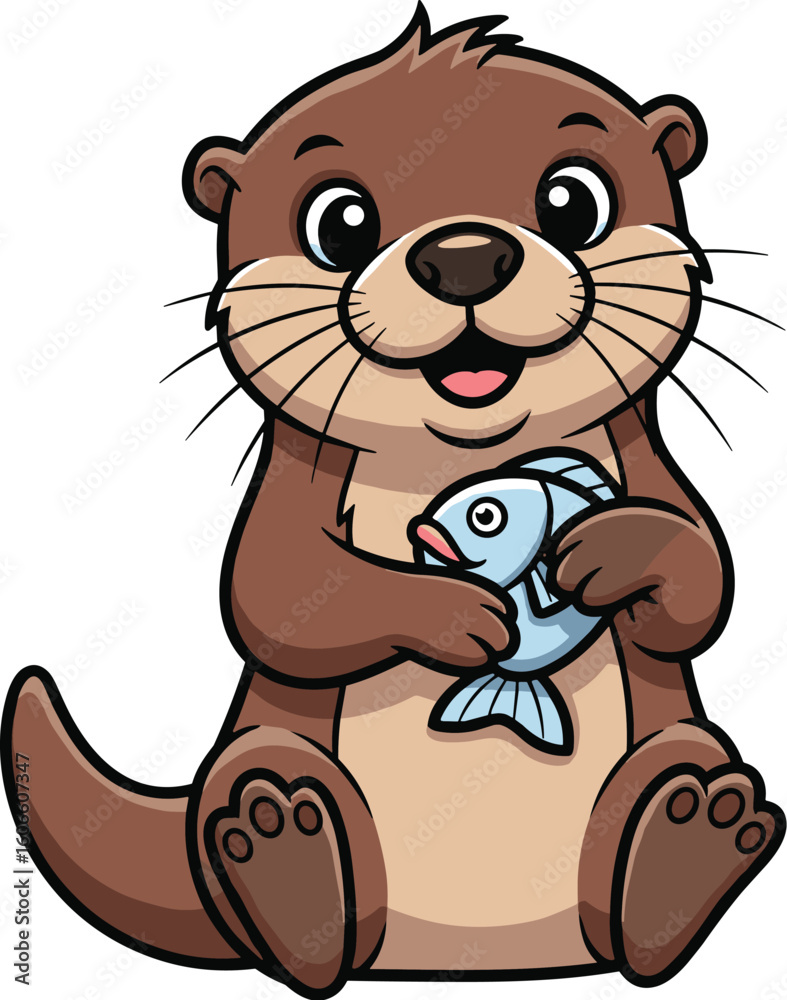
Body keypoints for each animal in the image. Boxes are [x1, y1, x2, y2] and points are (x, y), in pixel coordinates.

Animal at [3, 7, 783, 997]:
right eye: (339, 222)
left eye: (572, 201)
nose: (465, 255)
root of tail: (464, 957)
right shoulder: (298, 477)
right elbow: (278, 595)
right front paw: (457, 615)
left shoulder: (640, 455)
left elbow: (700, 577)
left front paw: (605, 553)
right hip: (267, 752)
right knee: (273, 814)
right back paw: (280, 850)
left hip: (677, 747)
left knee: (681, 781)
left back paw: (688, 839)